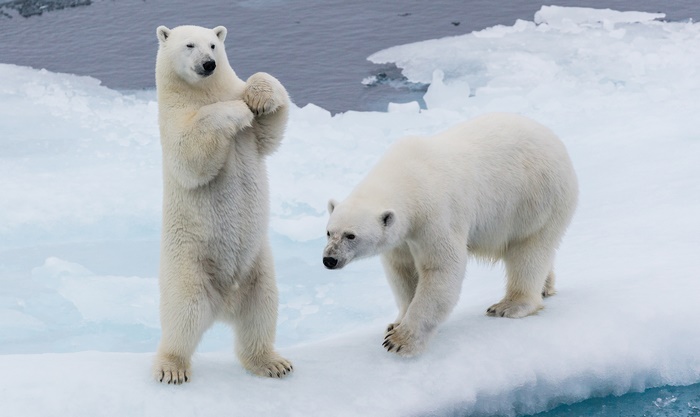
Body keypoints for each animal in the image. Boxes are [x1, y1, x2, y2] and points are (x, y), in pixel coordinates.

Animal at [153, 24, 292, 384]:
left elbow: (271, 130)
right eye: (189, 45)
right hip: (188, 266)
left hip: (258, 268)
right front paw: (237, 110)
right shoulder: (173, 119)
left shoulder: (253, 136)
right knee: (182, 316)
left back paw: (272, 362)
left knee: (261, 312)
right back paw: (172, 367)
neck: (202, 92)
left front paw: (257, 97)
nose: (208, 64)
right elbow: (190, 154)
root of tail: (225, 305)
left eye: (214, 45)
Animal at [323, 112, 578, 357]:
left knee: (528, 251)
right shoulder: (403, 236)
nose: (329, 259)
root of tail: (556, 141)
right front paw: (395, 323)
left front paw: (400, 341)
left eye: (351, 235)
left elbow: (441, 268)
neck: (407, 177)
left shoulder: (435, 214)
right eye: (328, 232)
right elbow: (402, 271)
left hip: (535, 199)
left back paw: (509, 305)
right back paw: (546, 286)